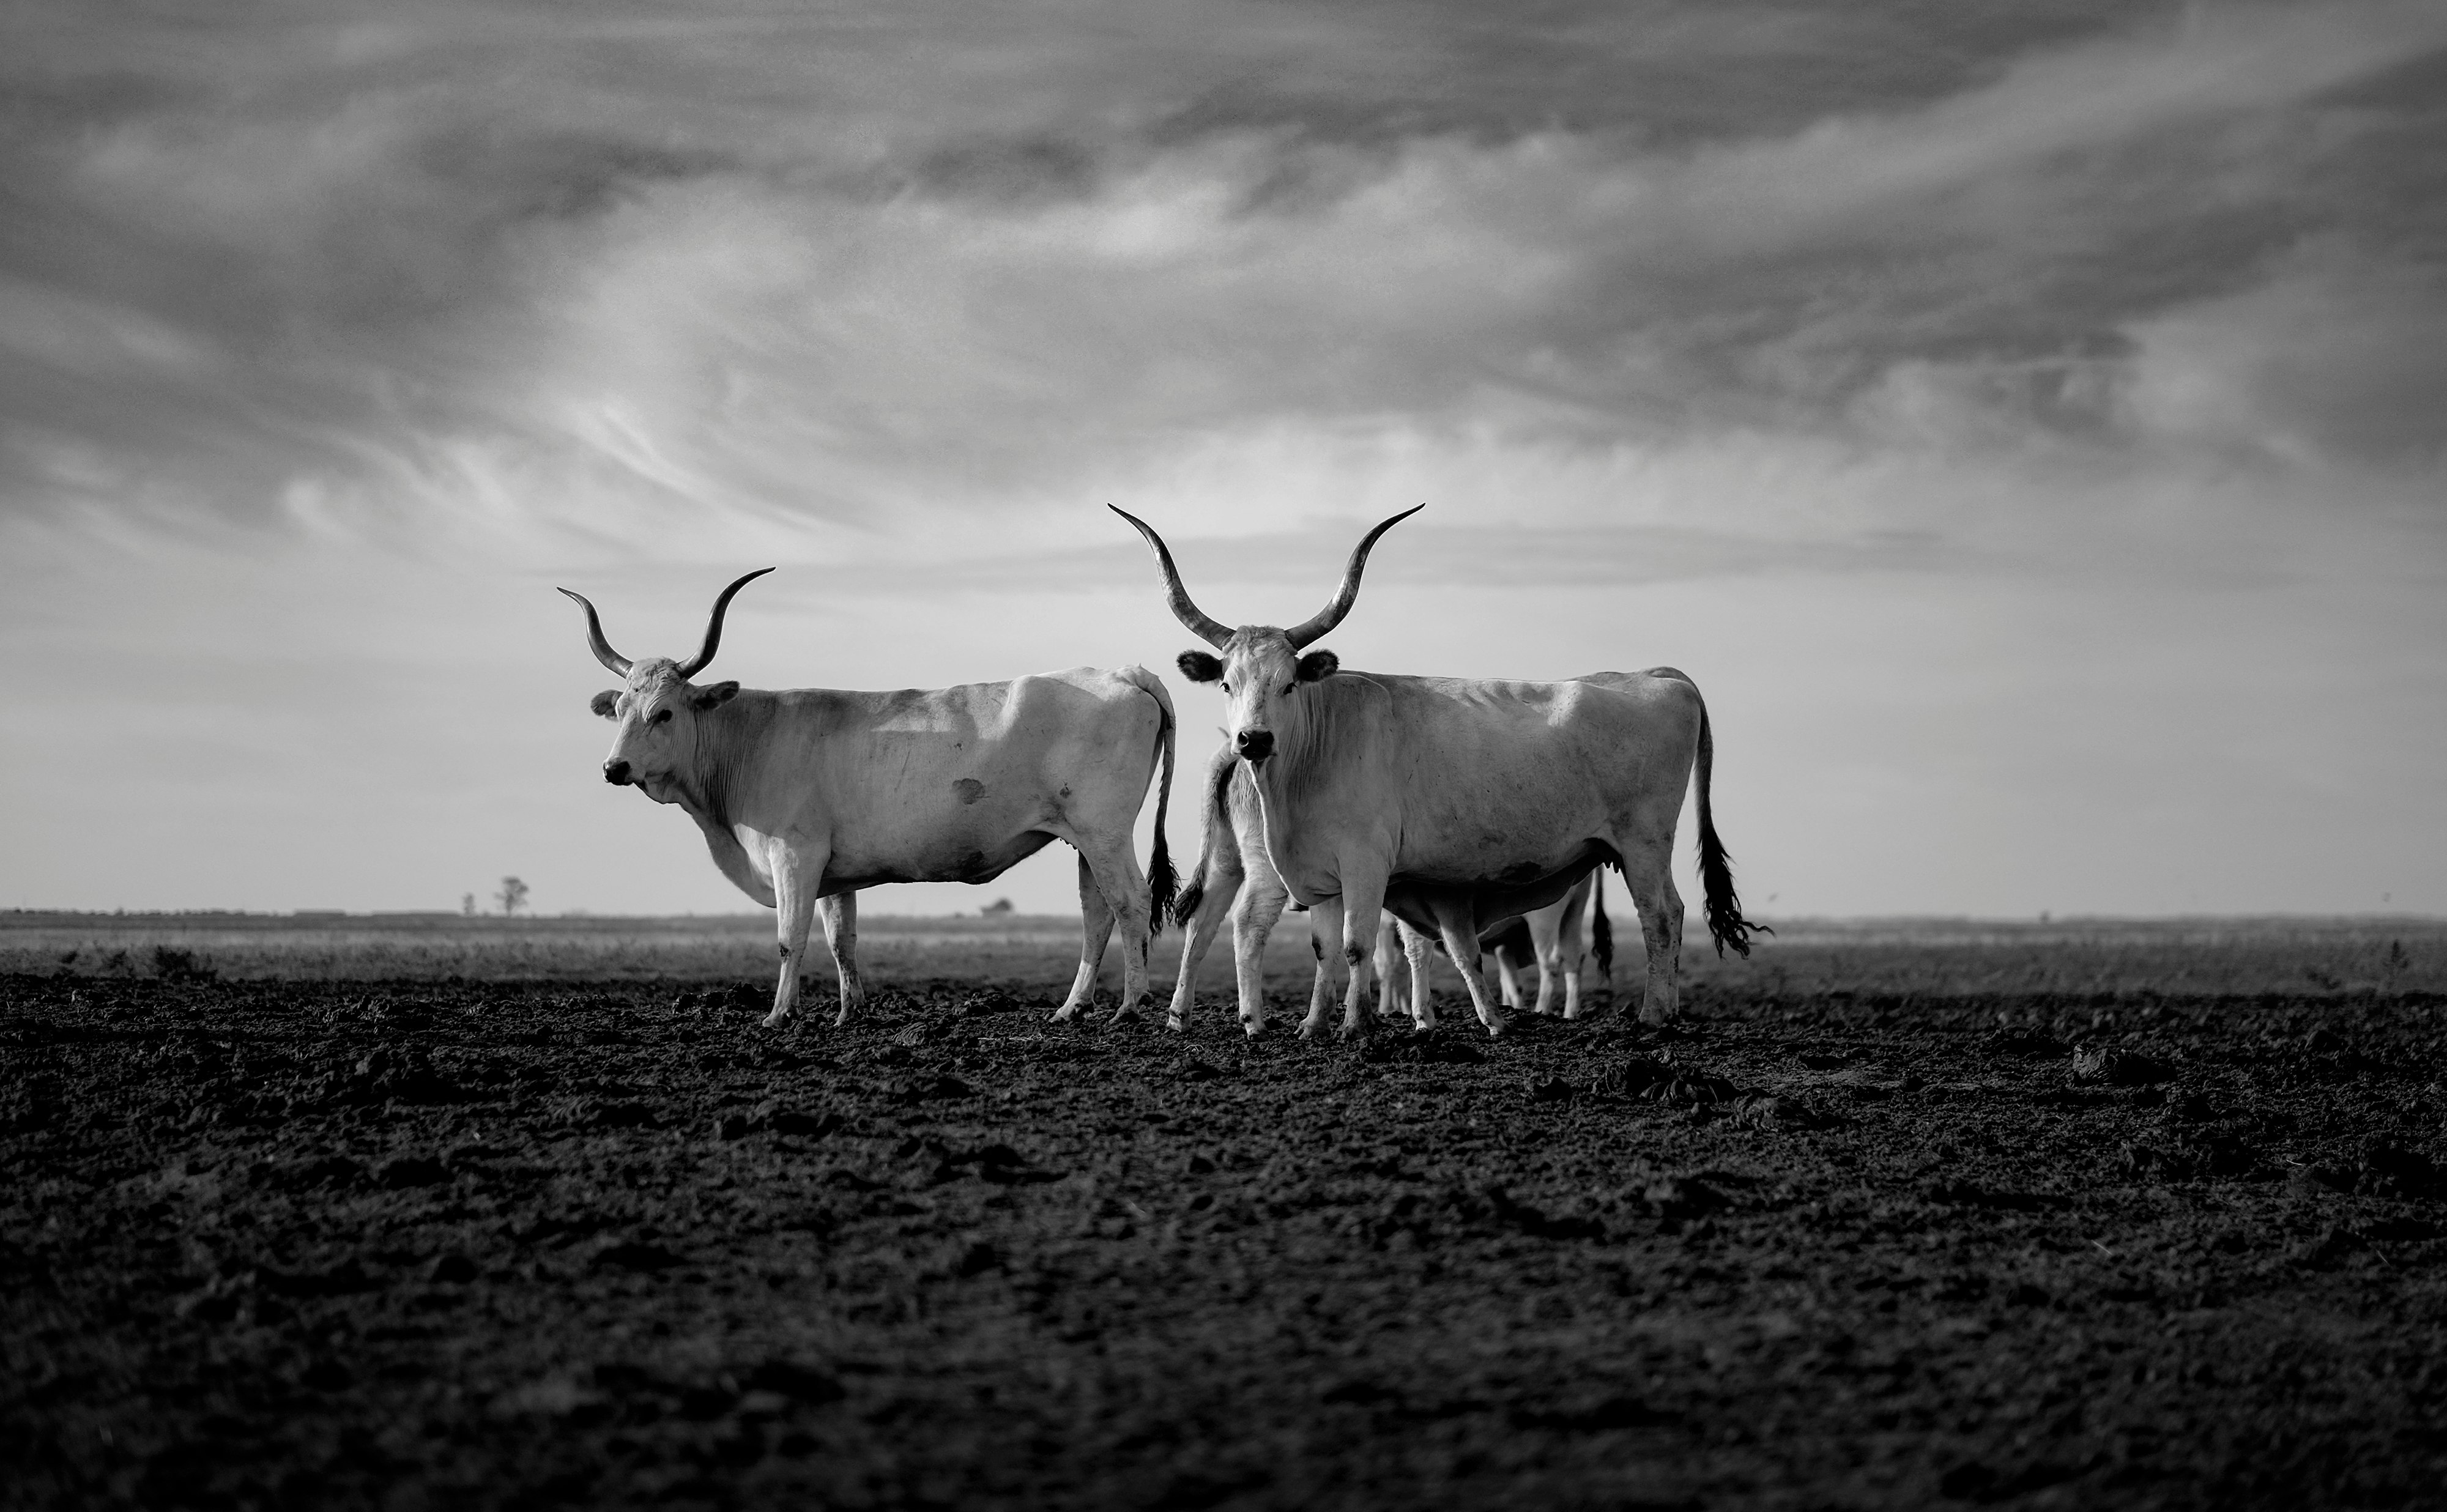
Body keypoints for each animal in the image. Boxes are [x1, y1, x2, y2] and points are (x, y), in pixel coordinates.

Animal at [560, 568, 1175, 1023]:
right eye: (619, 709)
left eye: (663, 712)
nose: (614, 768)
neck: (749, 738)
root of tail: (1123, 673)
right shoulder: (833, 870)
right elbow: (842, 939)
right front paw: (848, 1012)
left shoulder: (795, 855)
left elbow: (789, 937)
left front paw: (779, 1015)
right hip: (1083, 840)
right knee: (1097, 914)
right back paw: (1072, 1009)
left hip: (1104, 833)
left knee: (1131, 902)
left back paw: (1130, 1007)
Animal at [1111, 502, 1762, 1032]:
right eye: (1227, 682)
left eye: (1290, 683)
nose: (1253, 739)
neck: (1310, 761)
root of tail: (1656, 676)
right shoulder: (1320, 872)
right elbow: (1324, 947)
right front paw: (1313, 1027)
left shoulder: (1367, 864)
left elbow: (1356, 946)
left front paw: (1356, 1029)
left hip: (1645, 841)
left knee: (1663, 916)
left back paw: (1655, 1017)